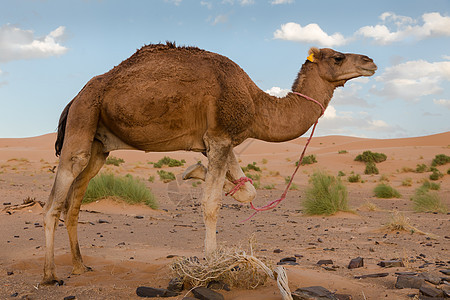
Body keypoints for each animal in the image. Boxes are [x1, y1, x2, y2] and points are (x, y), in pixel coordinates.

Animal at [44, 41, 378, 284]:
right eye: (338, 57)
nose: (370, 61)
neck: (257, 104)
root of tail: (75, 98)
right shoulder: (219, 137)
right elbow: (211, 204)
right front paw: (213, 264)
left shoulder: (222, 141)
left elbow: (248, 190)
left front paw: (195, 172)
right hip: (85, 116)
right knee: (55, 200)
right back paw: (50, 275)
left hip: (100, 144)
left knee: (75, 199)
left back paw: (79, 266)